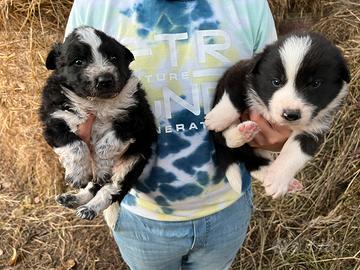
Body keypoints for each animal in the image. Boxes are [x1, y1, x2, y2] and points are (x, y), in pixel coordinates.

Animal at [39, 26, 158, 223]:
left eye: (114, 58)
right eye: (78, 61)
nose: (105, 80)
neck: (97, 103)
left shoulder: (134, 120)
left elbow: (106, 144)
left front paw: (102, 168)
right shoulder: (54, 119)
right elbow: (75, 144)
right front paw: (77, 175)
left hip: (133, 161)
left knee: (111, 189)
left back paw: (90, 208)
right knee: (92, 186)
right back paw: (74, 199)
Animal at [204, 32, 350, 197]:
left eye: (315, 84)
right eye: (276, 81)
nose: (290, 114)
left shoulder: (313, 130)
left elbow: (295, 153)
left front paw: (277, 180)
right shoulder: (239, 72)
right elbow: (232, 97)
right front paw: (217, 118)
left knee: (254, 164)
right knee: (224, 137)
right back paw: (240, 132)